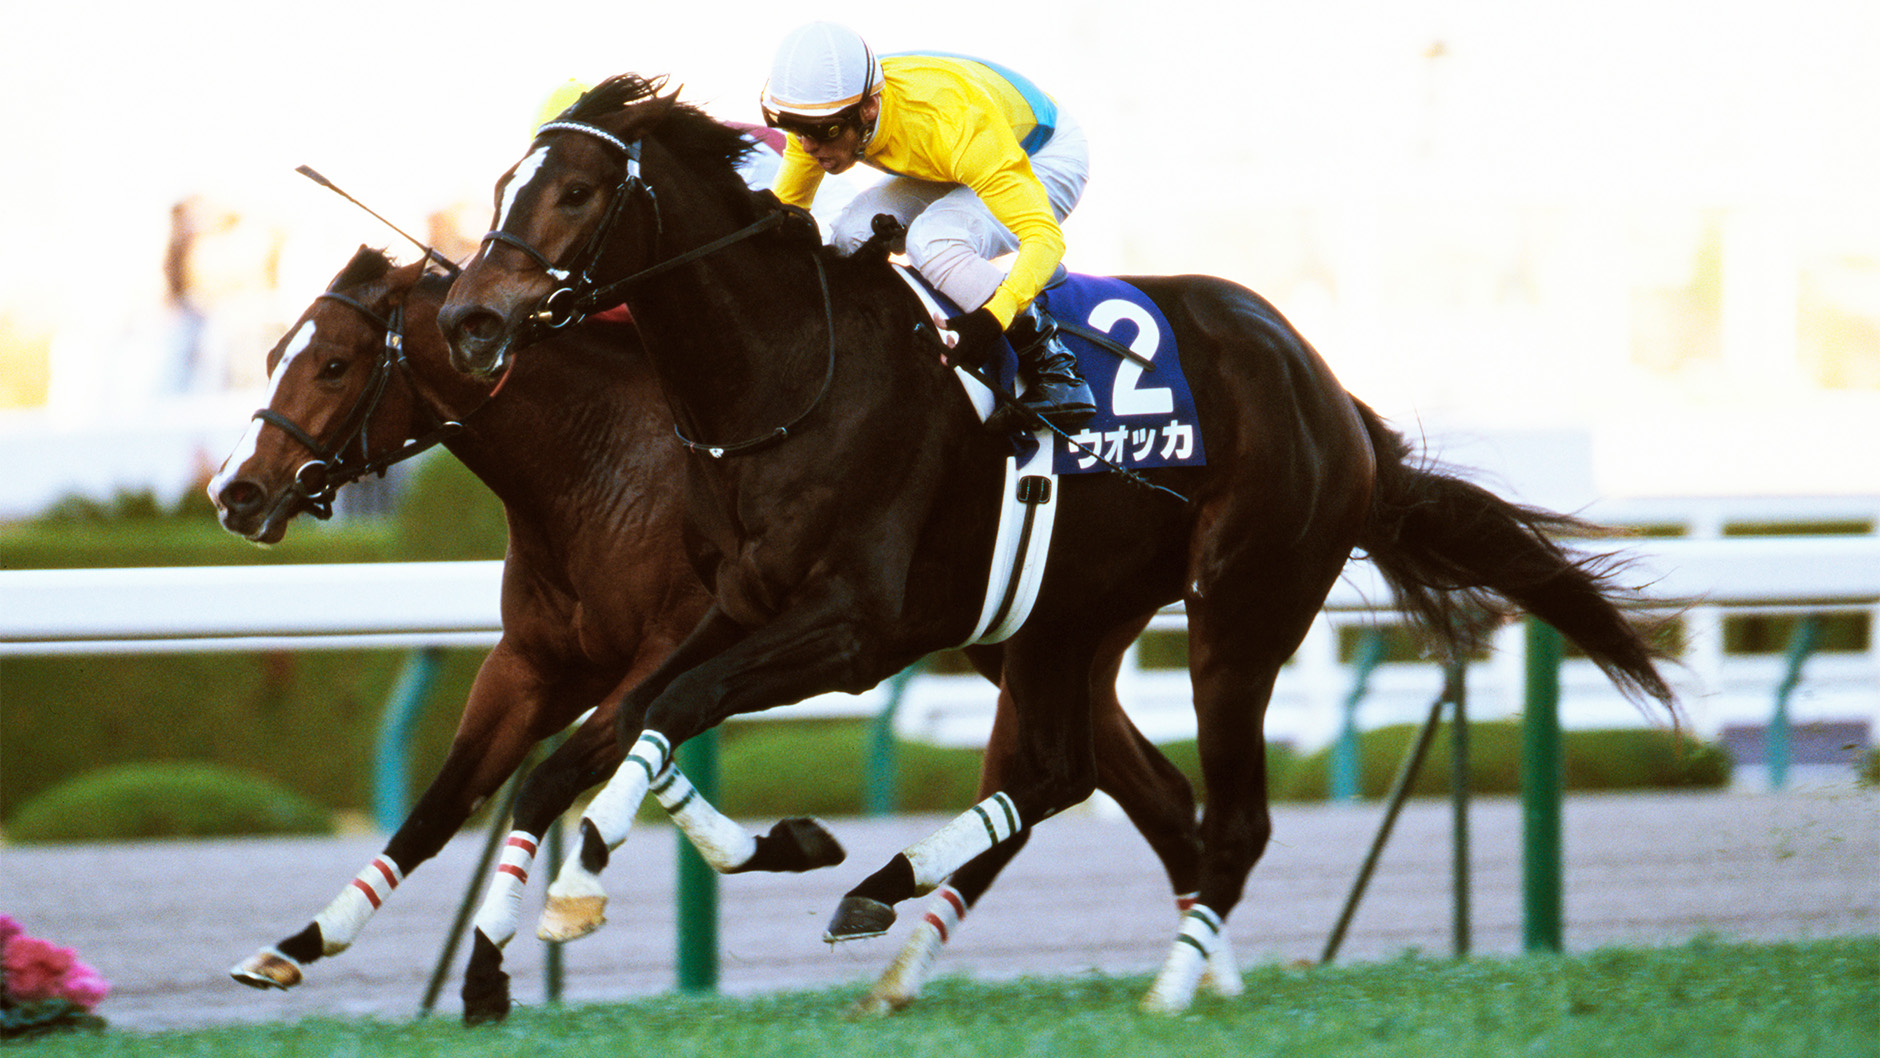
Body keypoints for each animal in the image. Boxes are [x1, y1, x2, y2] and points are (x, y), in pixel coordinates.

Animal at [208, 245, 1239, 1022]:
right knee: (1143, 786)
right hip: (1036, 642)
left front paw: (494, 969)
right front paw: (304, 941)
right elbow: (445, 803)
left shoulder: (671, 644)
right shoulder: (534, 664)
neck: (598, 463)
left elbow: (574, 769)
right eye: (275, 354)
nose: (238, 492)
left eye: (335, 363)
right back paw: (1200, 957)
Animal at [436, 74, 1677, 1014]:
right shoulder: (730, 602)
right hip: (1066, 612)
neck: (787, 374)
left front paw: (583, 882)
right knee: (1056, 772)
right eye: (505, 185)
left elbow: (669, 709)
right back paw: (890, 899)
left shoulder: (853, 627)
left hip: (1241, 604)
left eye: (576, 192)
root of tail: (1331, 396)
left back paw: (1166, 987)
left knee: (1227, 816)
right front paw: (552, 911)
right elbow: (610, 730)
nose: (468, 318)